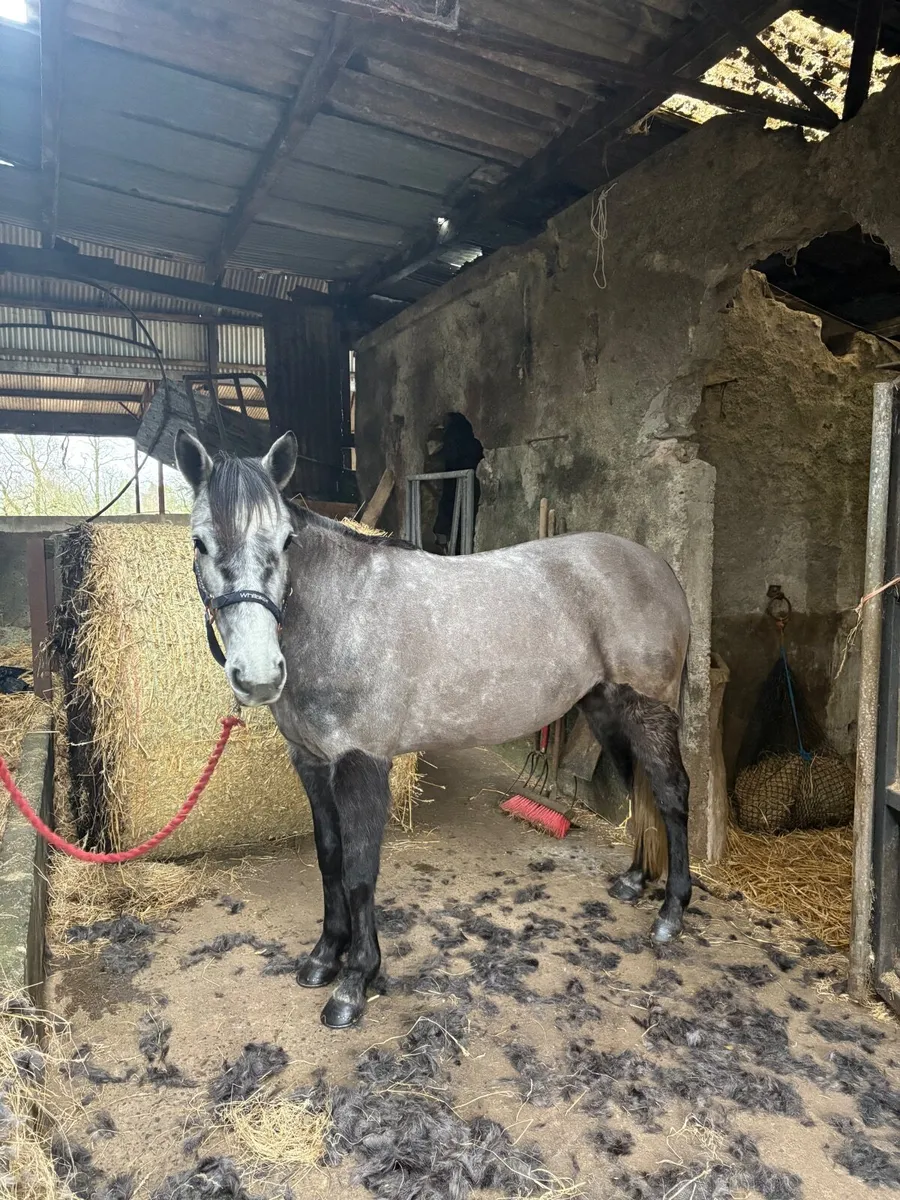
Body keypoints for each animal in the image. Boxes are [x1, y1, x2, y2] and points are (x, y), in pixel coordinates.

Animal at [175, 428, 693, 1029]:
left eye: (285, 542)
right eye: (199, 544)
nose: (258, 675)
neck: (343, 615)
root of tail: (658, 567)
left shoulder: (362, 764)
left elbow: (359, 870)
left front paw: (354, 983)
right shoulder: (311, 763)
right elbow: (329, 858)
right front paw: (324, 957)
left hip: (649, 707)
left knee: (671, 793)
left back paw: (672, 911)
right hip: (604, 706)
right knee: (639, 784)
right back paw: (634, 879)